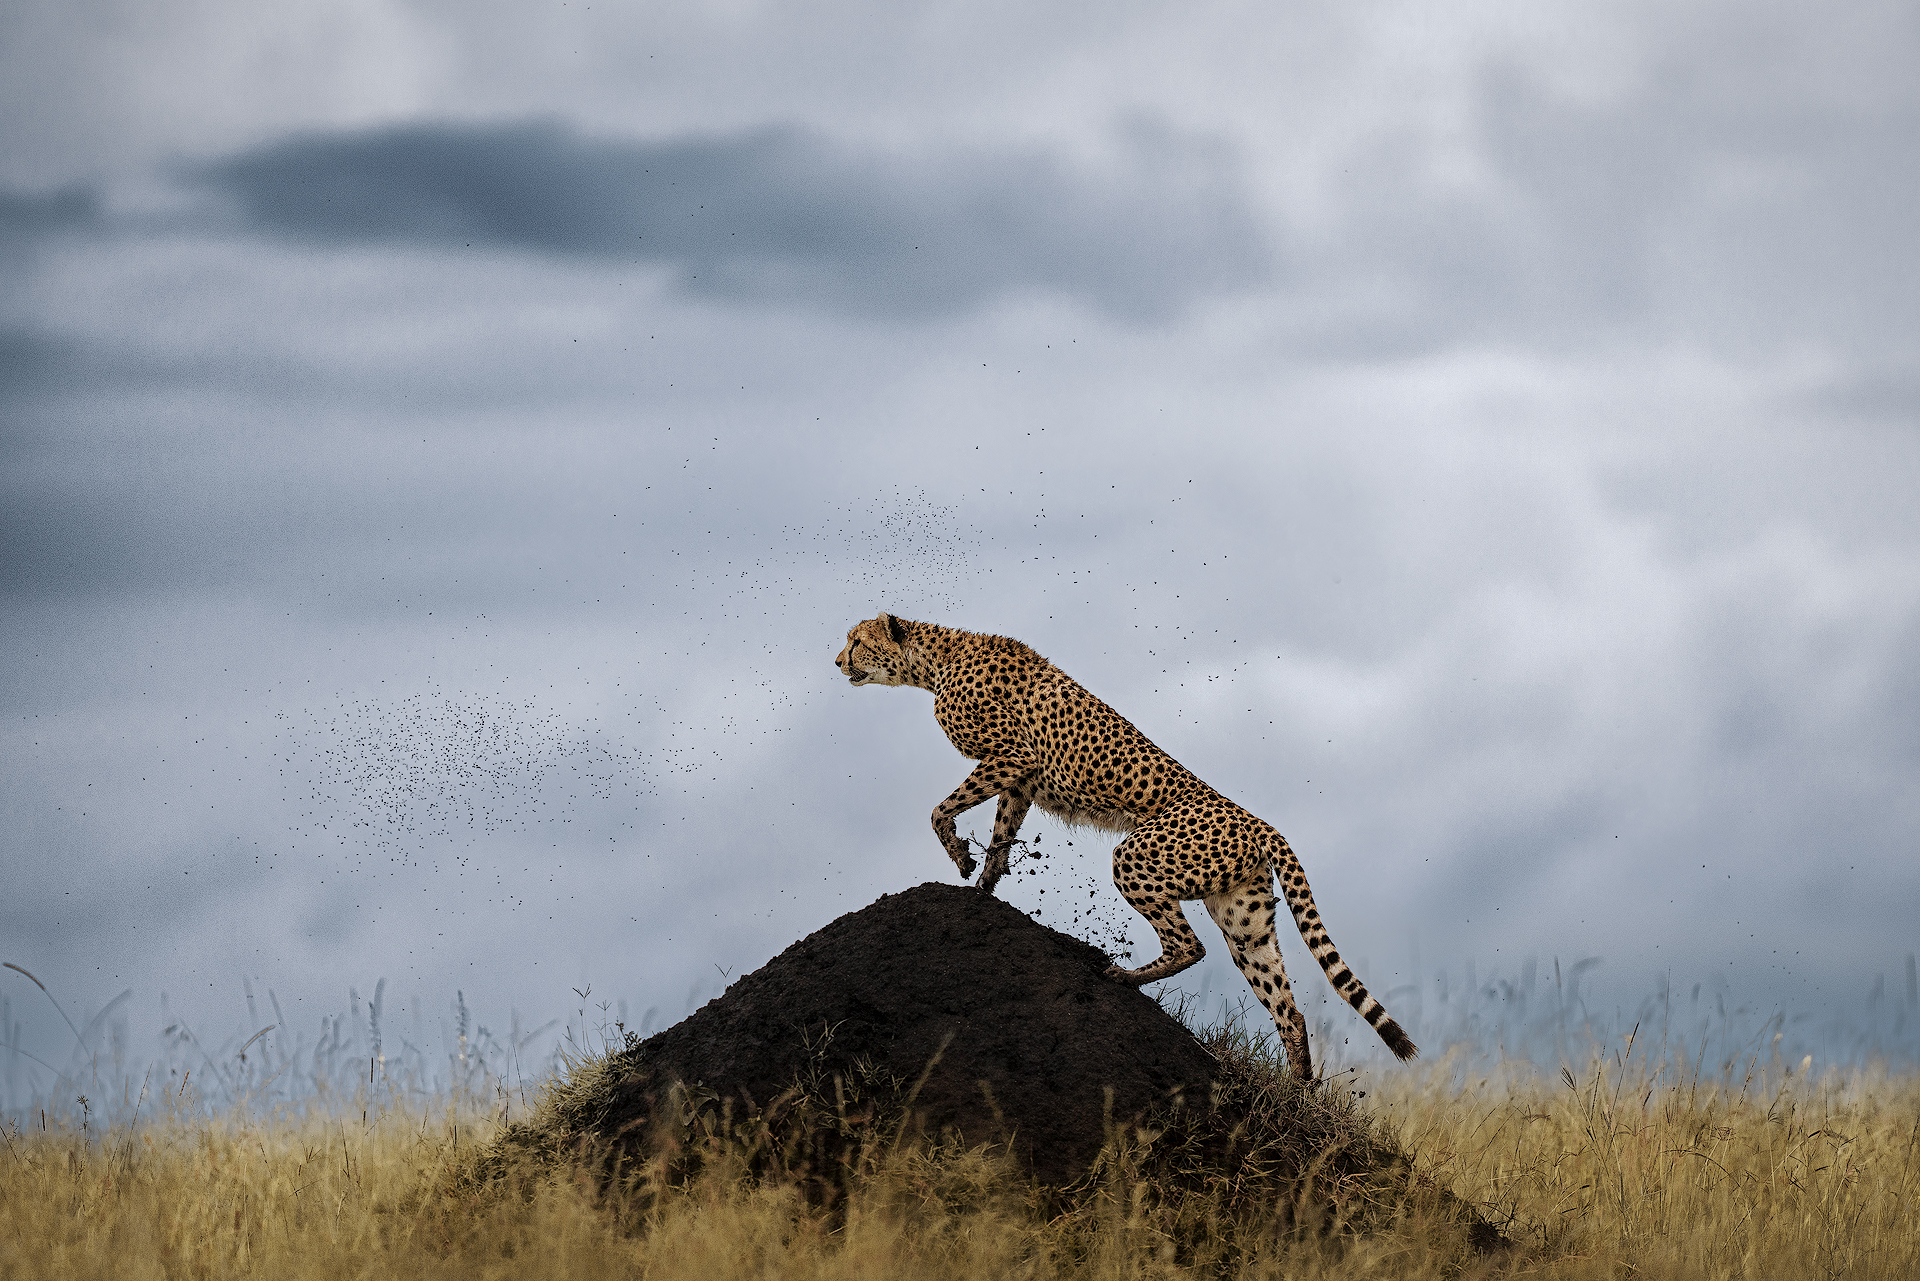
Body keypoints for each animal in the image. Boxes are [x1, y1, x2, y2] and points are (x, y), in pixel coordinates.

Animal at [835, 612, 1416, 1079]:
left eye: (857, 640)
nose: (838, 660)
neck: (934, 659)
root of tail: (1258, 822)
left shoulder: (1013, 756)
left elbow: (940, 810)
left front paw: (960, 857)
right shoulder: (1019, 780)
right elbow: (1001, 835)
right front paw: (983, 887)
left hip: (1137, 856)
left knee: (1189, 945)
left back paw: (1124, 976)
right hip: (1243, 917)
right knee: (1286, 1008)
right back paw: (1297, 1094)